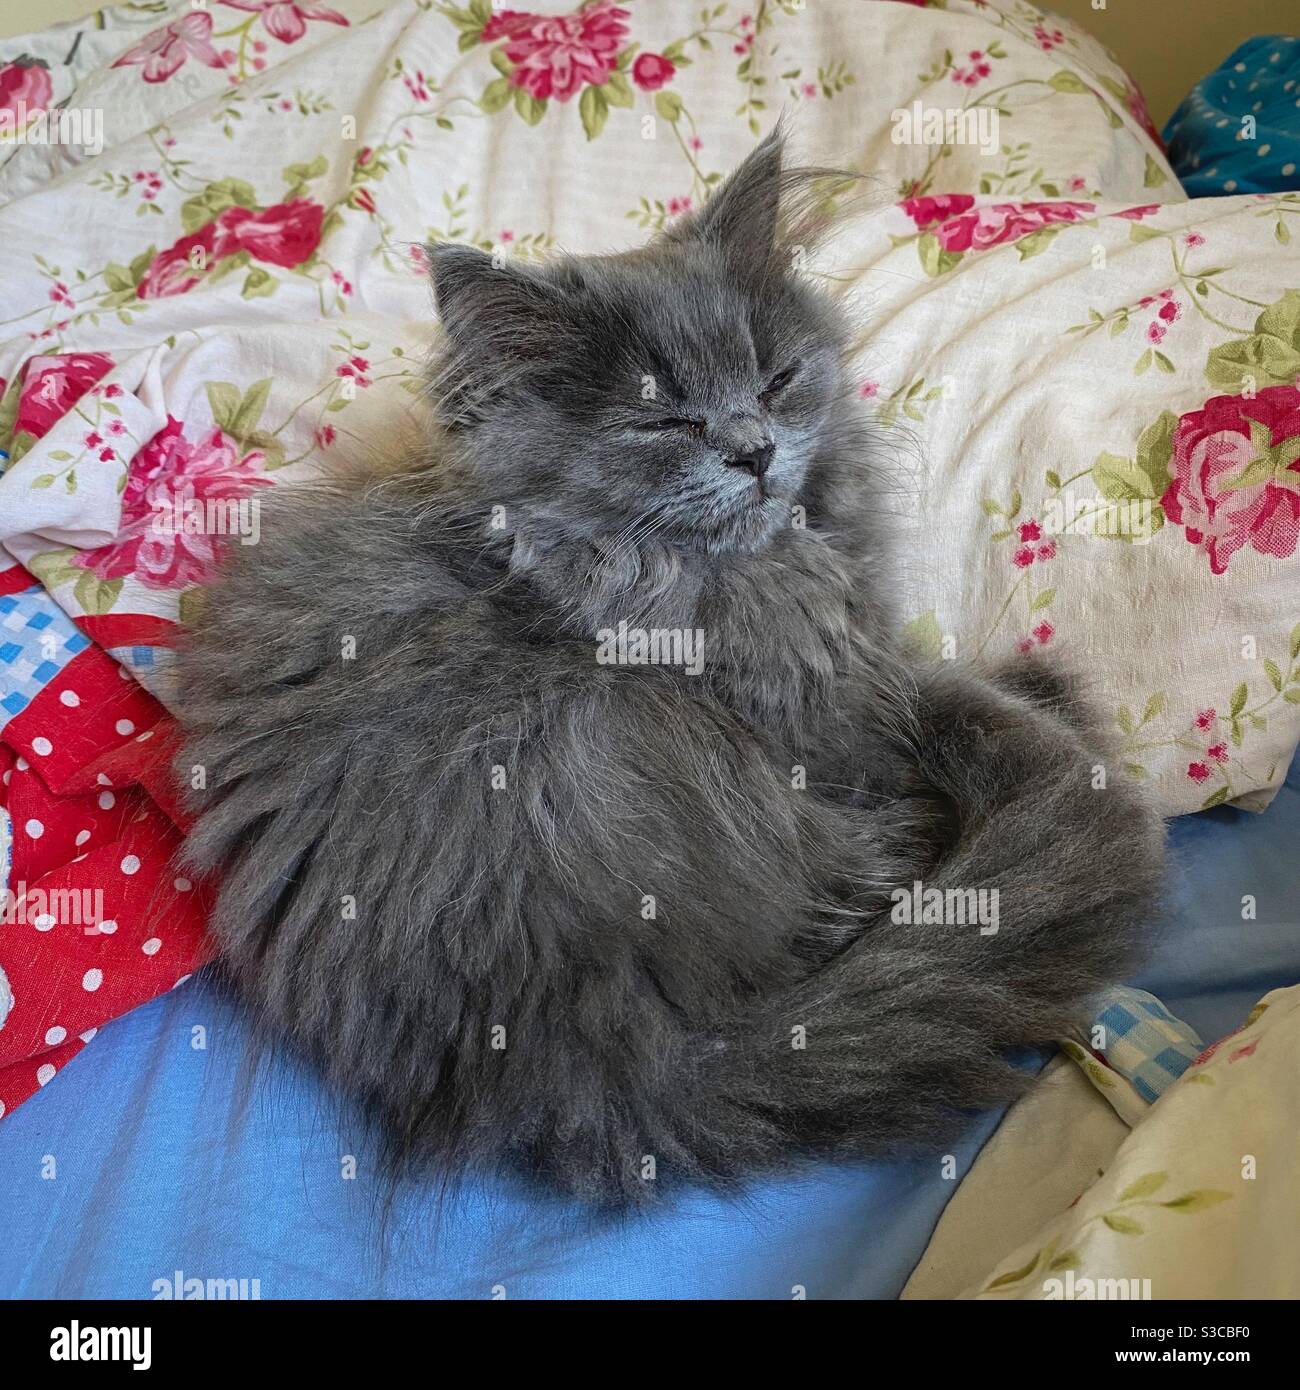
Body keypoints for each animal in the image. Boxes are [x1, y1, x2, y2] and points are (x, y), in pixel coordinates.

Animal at [175, 132, 1167, 1206]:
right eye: (665, 424)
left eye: (777, 380)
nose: (755, 452)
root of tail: (588, 1061)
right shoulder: (833, 705)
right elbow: (943, 696)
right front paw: (1049, 722)